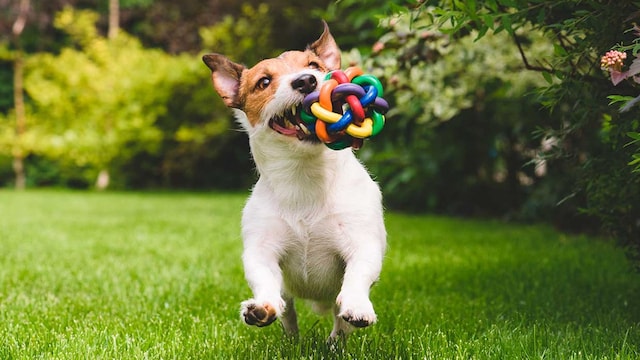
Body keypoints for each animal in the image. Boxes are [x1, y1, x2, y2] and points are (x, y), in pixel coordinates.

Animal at [202, 21, 388, 340]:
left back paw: (335, 342)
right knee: (287, 309)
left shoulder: (361, 241)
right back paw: (290, 337)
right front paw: (261, 307)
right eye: (264, 82)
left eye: (313, 66)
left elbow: (358, 273)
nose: (306, 81)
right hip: (288, 296)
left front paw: (357, 305)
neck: (304, 175)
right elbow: (263, 277)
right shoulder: (262, 249)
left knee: (339, 321)